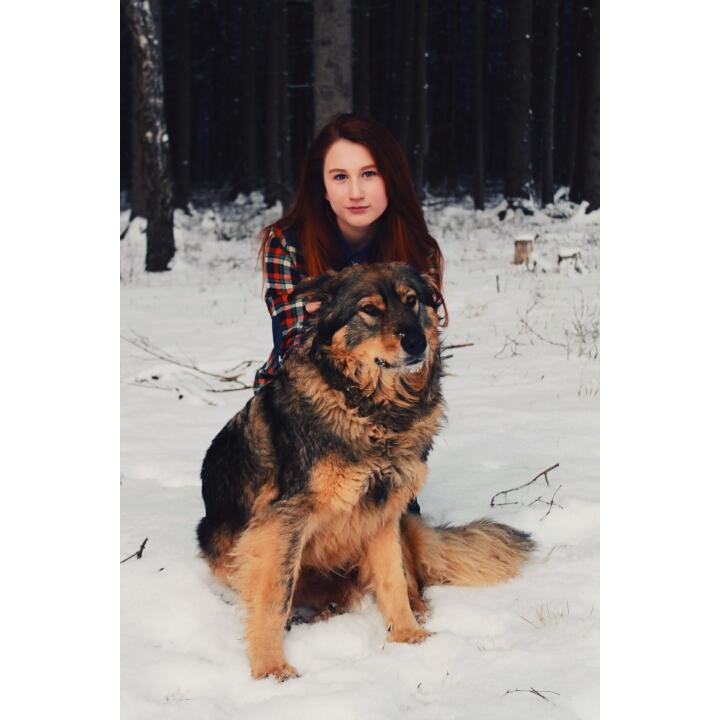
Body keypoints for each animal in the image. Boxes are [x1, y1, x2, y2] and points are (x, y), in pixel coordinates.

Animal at [197, 262, 533, 681]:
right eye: (370, 310)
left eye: (412, 301)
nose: (417, 342)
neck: (372, 413)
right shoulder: (281, 521)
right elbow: (275, 595)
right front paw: (271, 667)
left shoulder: (384, 511)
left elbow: (393, 579)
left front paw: (407, 636)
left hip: (404, 520)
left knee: (410, 578)